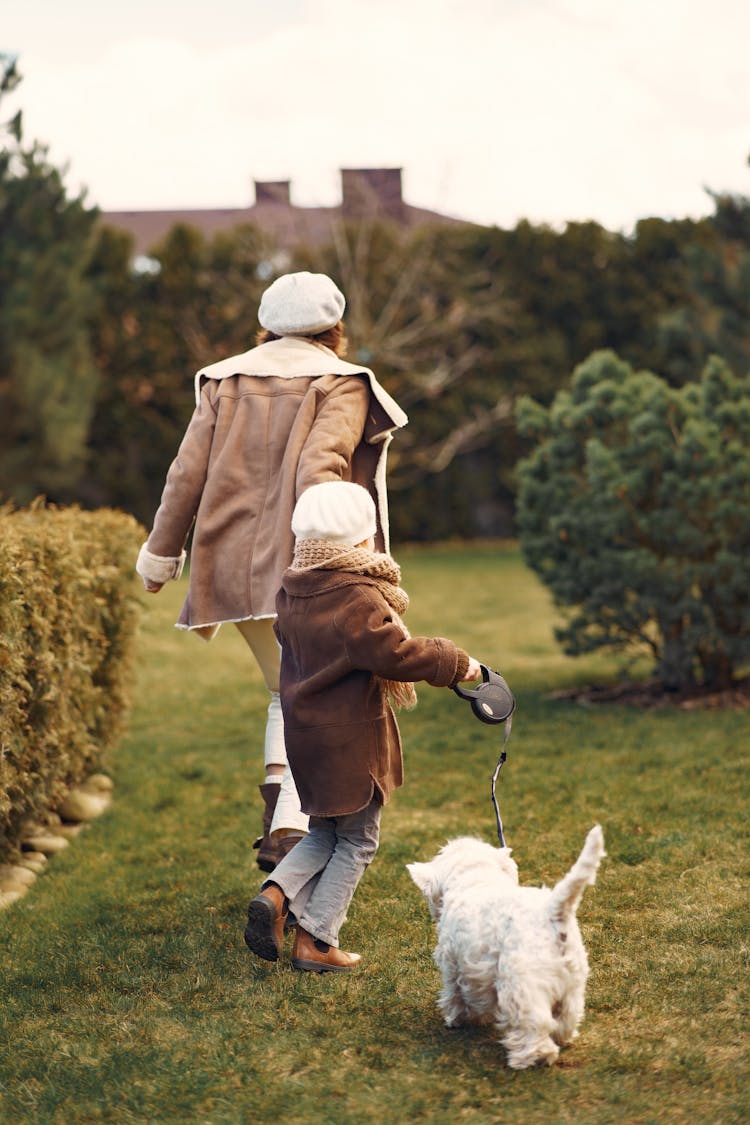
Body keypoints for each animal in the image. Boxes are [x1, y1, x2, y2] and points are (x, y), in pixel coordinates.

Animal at [407, 823, 607, 1066]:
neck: (475, 878)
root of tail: (552, 911)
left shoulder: (453, 964)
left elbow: (455, 994)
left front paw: (455, 1020)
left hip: (522, 983)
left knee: (535, 1023)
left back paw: (529, 1057)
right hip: (574, 980)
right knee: (567, 1015)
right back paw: (562, 1038)